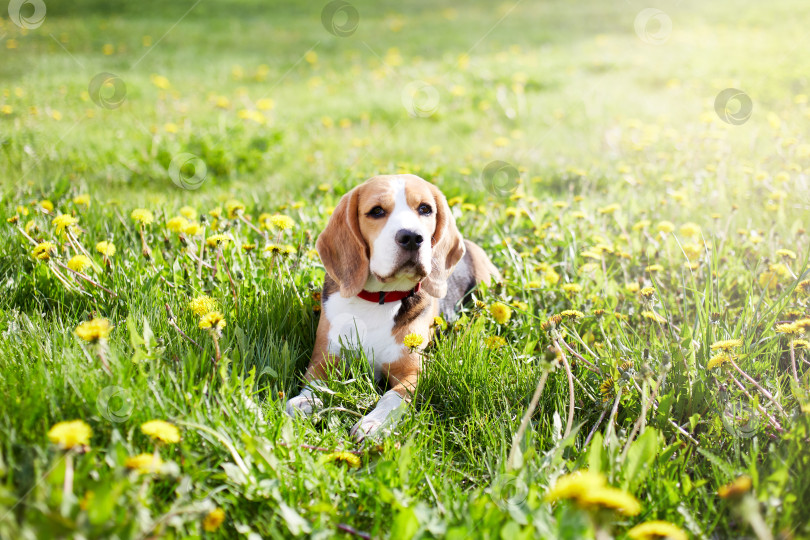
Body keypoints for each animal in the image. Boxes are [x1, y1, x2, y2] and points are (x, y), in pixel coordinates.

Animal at [284, 175, 498, 440]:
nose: (412, 237)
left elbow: (391, 397)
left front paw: (374, 422)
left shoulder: (414, 372)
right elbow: (315, 381)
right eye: (376, 211)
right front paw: (306, 400)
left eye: (425, 209)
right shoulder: (324, 357)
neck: (379, 298)